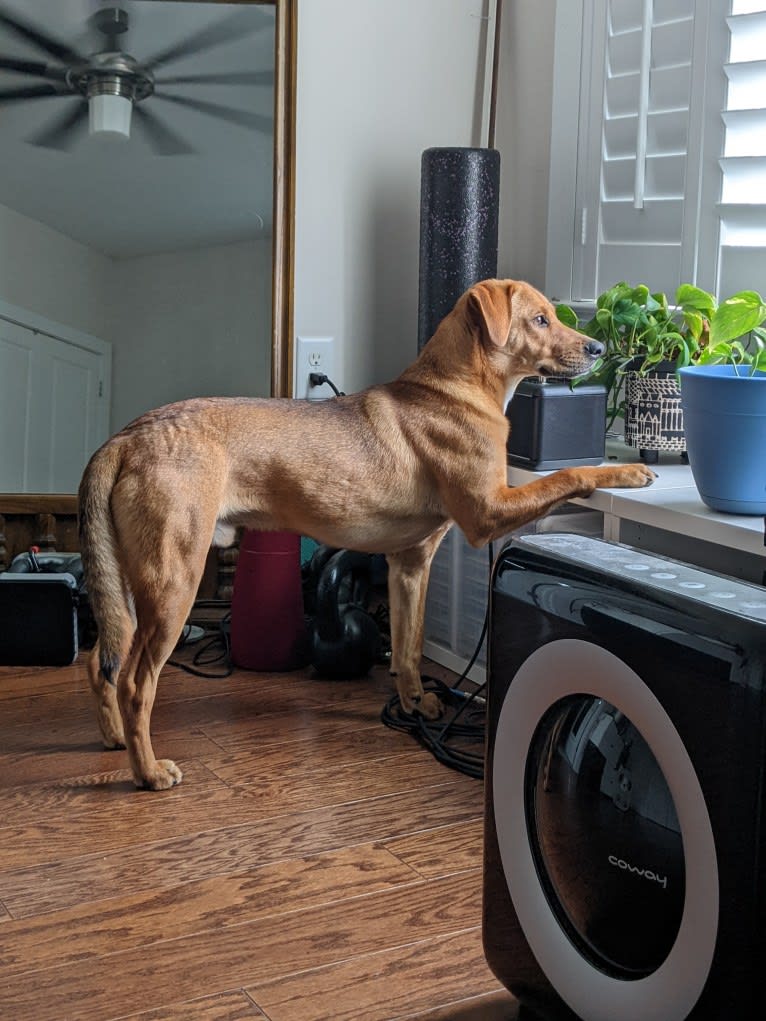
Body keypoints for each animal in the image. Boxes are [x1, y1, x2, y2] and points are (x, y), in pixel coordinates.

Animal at [76, 279, 653, 788]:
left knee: (101, 662)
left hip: (132, 585)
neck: (456, 387)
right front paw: (627, 473)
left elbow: (408, 648)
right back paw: (148, 772)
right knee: (135, 682)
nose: (599, 347)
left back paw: (114, 739)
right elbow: (569, 475)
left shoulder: (410, 564)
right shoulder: (487, 513)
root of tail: (124, 439)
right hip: (175, 581)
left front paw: (415, 704)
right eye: (540, 320)